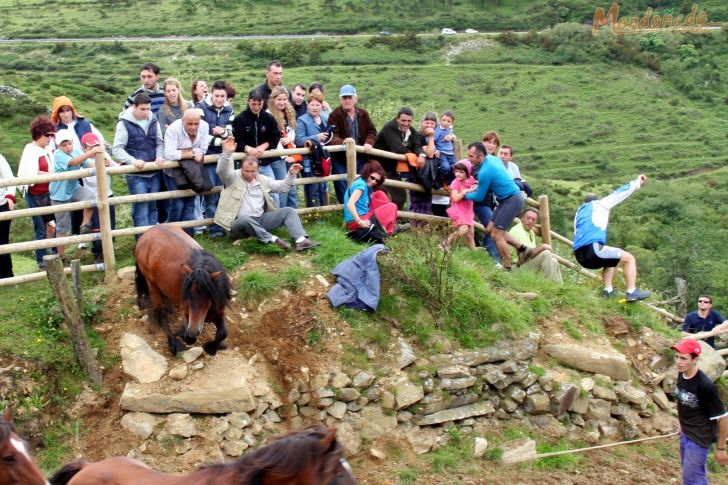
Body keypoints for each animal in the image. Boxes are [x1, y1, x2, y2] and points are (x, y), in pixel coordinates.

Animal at [134, 224, 230, 356]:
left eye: (209, 298)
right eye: (188, 295)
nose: (193, 330)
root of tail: (146, 233)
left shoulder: (218, 310)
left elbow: (223, 333)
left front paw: (212, 347)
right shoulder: (185, 310)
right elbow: (189, 338)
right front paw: (182, 335)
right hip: (151, 284)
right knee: (161, 316)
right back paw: (174, 343)